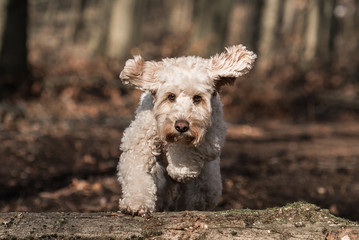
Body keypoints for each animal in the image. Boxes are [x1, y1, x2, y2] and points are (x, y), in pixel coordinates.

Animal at [117, 44, 256, 216]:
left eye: (197, 98)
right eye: (171, 96)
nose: (181, 126)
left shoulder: (213, 135)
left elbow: (189, 150)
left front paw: (180, 169)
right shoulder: (139, 141)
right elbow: (138, 172)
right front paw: (137, 204)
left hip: (207, 185)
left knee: (198, 194)